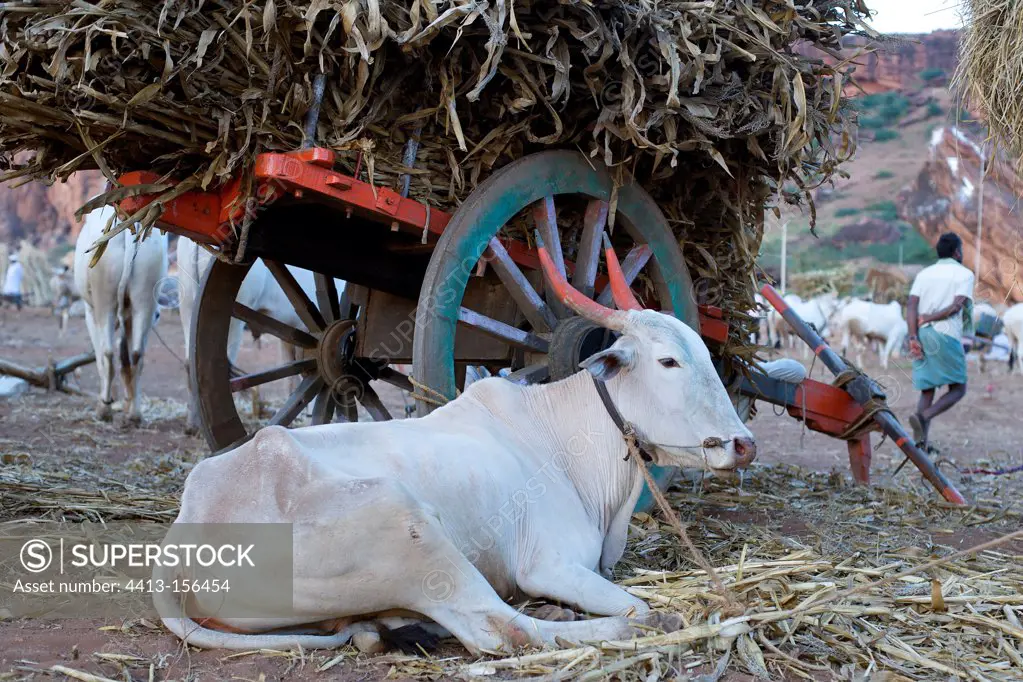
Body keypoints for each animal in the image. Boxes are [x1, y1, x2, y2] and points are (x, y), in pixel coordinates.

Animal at [73, 205, 167, 423]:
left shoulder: (90, 312)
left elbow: (102, 358)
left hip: (104, 298)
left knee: (107, 353)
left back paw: (104, 409)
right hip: (145, 295)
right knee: (136, 354)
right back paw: (134, 414)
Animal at [155, 258, 757, 654]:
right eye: (668, 361)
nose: (743, 444)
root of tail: (188, 522)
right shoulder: (550, 565)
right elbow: (635, 601)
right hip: (410, 528)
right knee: (497, 629)